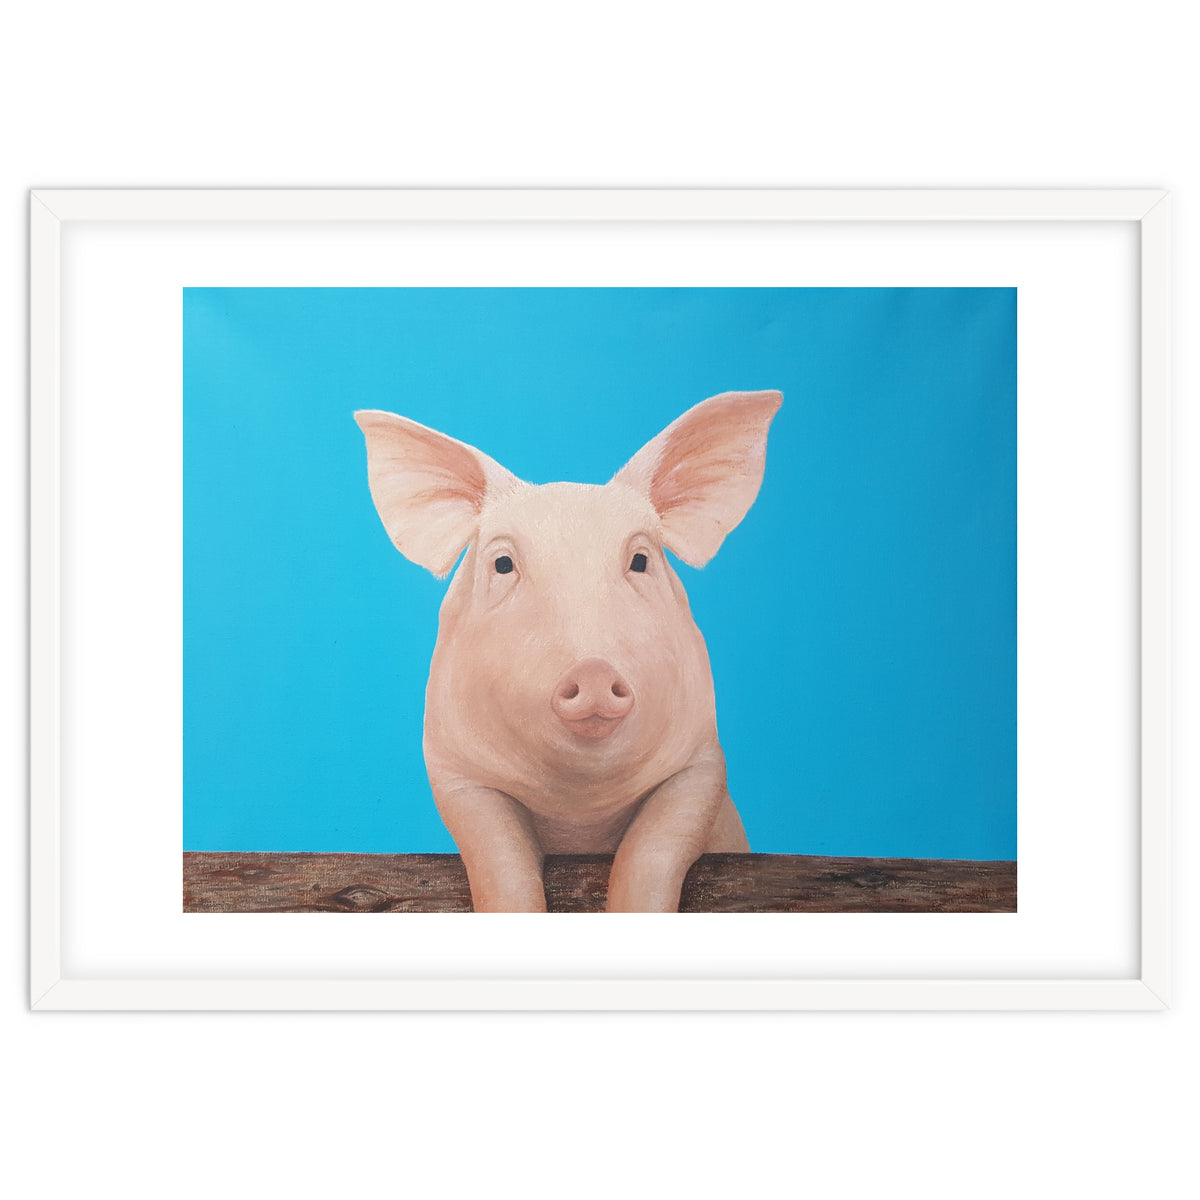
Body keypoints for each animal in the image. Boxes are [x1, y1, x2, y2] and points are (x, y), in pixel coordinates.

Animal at [355, 389, 782, 912]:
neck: (579, 809)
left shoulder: (701, 763)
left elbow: (652, 850)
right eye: (502, 564)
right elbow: (499, 859)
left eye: (640, 560)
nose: (594, 670)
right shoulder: (455, 772)